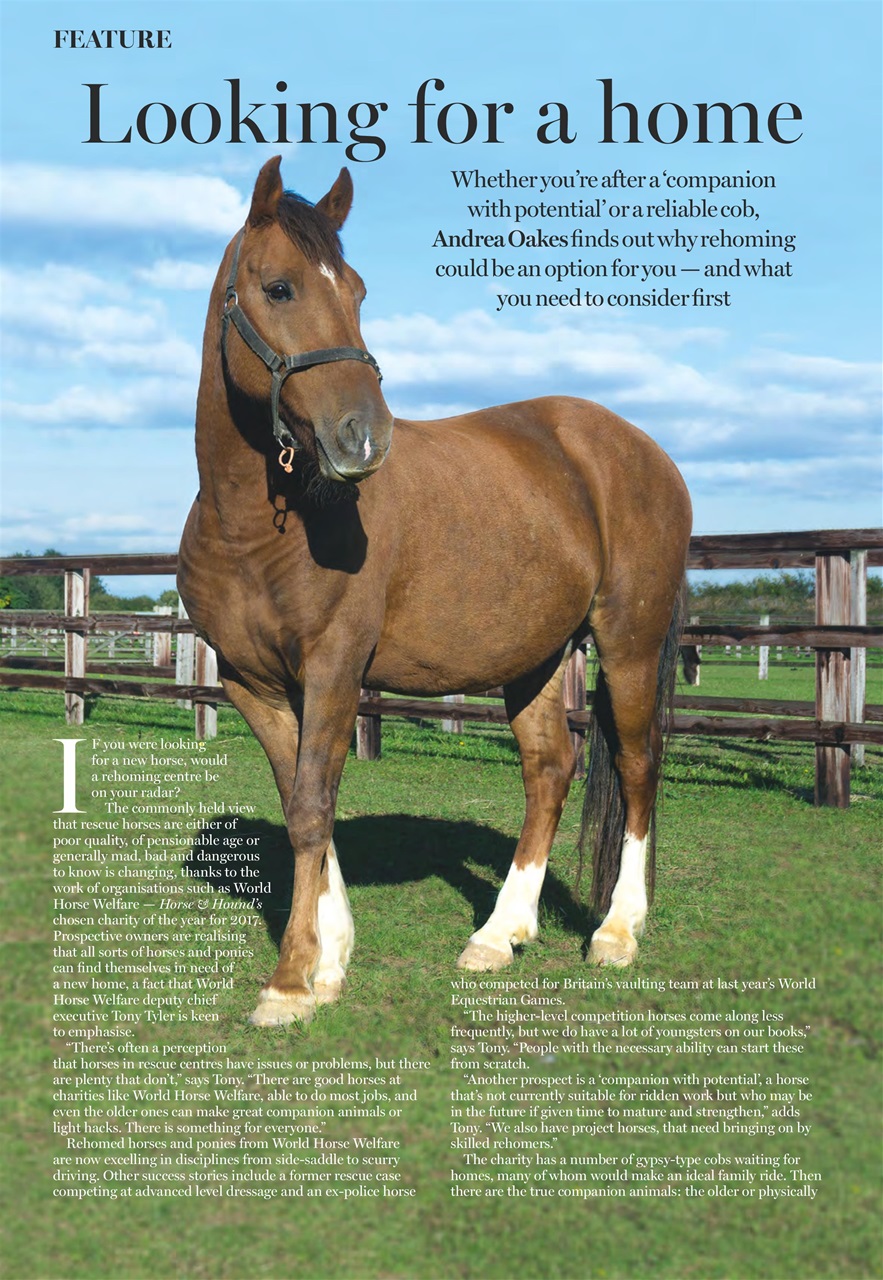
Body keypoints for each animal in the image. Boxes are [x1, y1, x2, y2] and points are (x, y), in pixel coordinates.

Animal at [178, 157, 693, 1027]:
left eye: (355, 290)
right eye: (278, 288)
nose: (363, 437)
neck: (253, 528)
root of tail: (636, 448)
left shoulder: (335, 668)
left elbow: (312, 804)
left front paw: (289, 983)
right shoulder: (252, 683)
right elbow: (301, 802)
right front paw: (328, 960)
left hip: (628, 642)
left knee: (634, 764)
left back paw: (617, 931)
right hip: (535, 656)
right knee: (549, 769)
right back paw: (498, 933)